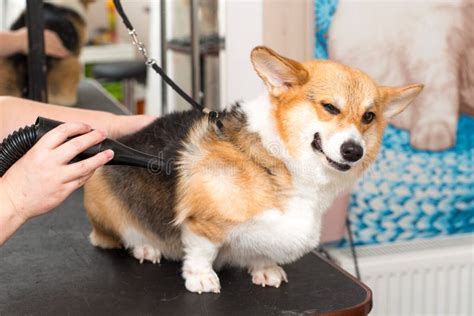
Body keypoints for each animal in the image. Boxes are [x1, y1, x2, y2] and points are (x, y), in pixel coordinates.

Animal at [82, 45, 422, 292]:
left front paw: (264, 269)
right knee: (117, 237)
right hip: (103, 199)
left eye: (369, 117)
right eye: (329, 107)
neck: (278, 162)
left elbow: (263, 251)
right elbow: (202, 252)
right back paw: (145, 247)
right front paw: (201, 277)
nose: (354, 151)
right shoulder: (202, 223)